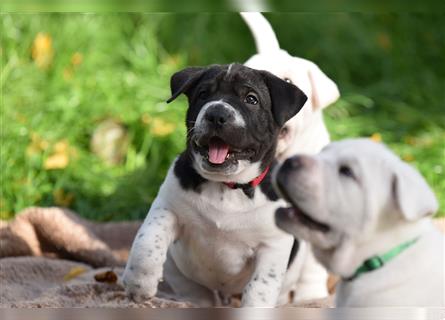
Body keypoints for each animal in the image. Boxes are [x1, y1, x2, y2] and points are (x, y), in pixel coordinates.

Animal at [122, 63, 322, 306]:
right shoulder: (167, 208)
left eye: (251, 99)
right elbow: (148, 241)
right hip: (182, 274)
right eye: (203, 94)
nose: (216, 114)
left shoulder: (272, 246)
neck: (226, 186)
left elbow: (260, 288)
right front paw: (138, 283)